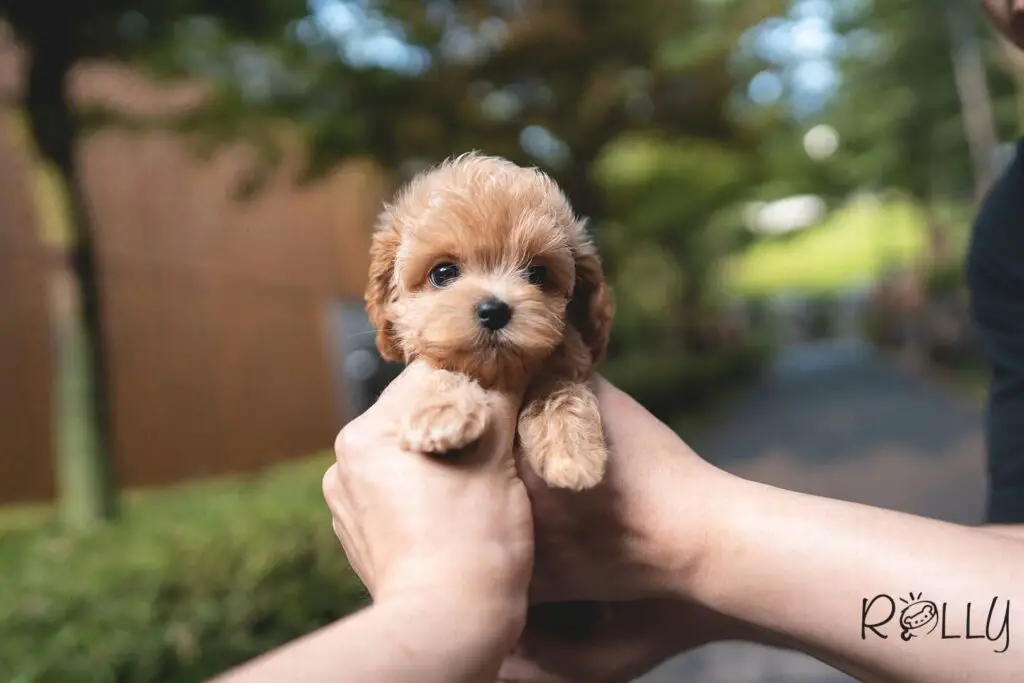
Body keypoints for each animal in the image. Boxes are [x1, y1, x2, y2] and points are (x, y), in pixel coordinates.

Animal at [364, 152, 610, 489]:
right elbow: (442, 371)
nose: (494, 311)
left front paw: (571, 450)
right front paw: (442, 412)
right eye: (442, 273)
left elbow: (560, 388)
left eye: (537, 274)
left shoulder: (567, 363)